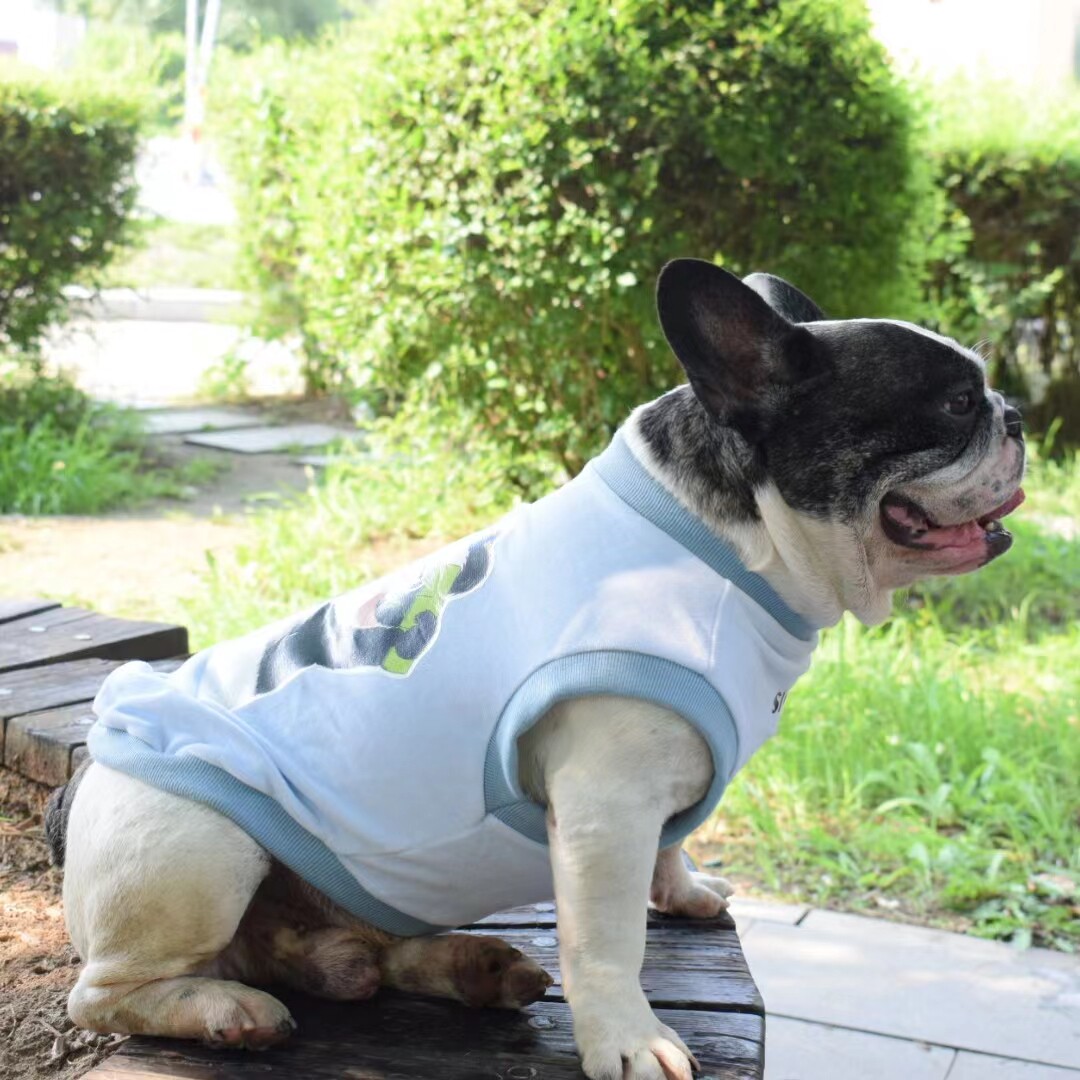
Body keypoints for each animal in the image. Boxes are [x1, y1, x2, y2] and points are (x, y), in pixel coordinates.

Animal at [47, 259, 1025, 1080]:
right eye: (952, 407)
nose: (1014, 415)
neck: (735, 545)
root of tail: (89, 772)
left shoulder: (653, 790)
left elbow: (674, 845)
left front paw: (683, 891)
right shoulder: (605, 810)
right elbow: (607, 942)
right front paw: (627, 1042)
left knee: (349, 957)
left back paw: (461, 965)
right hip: (200, 848)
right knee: (106, 994)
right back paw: (225, 1010)